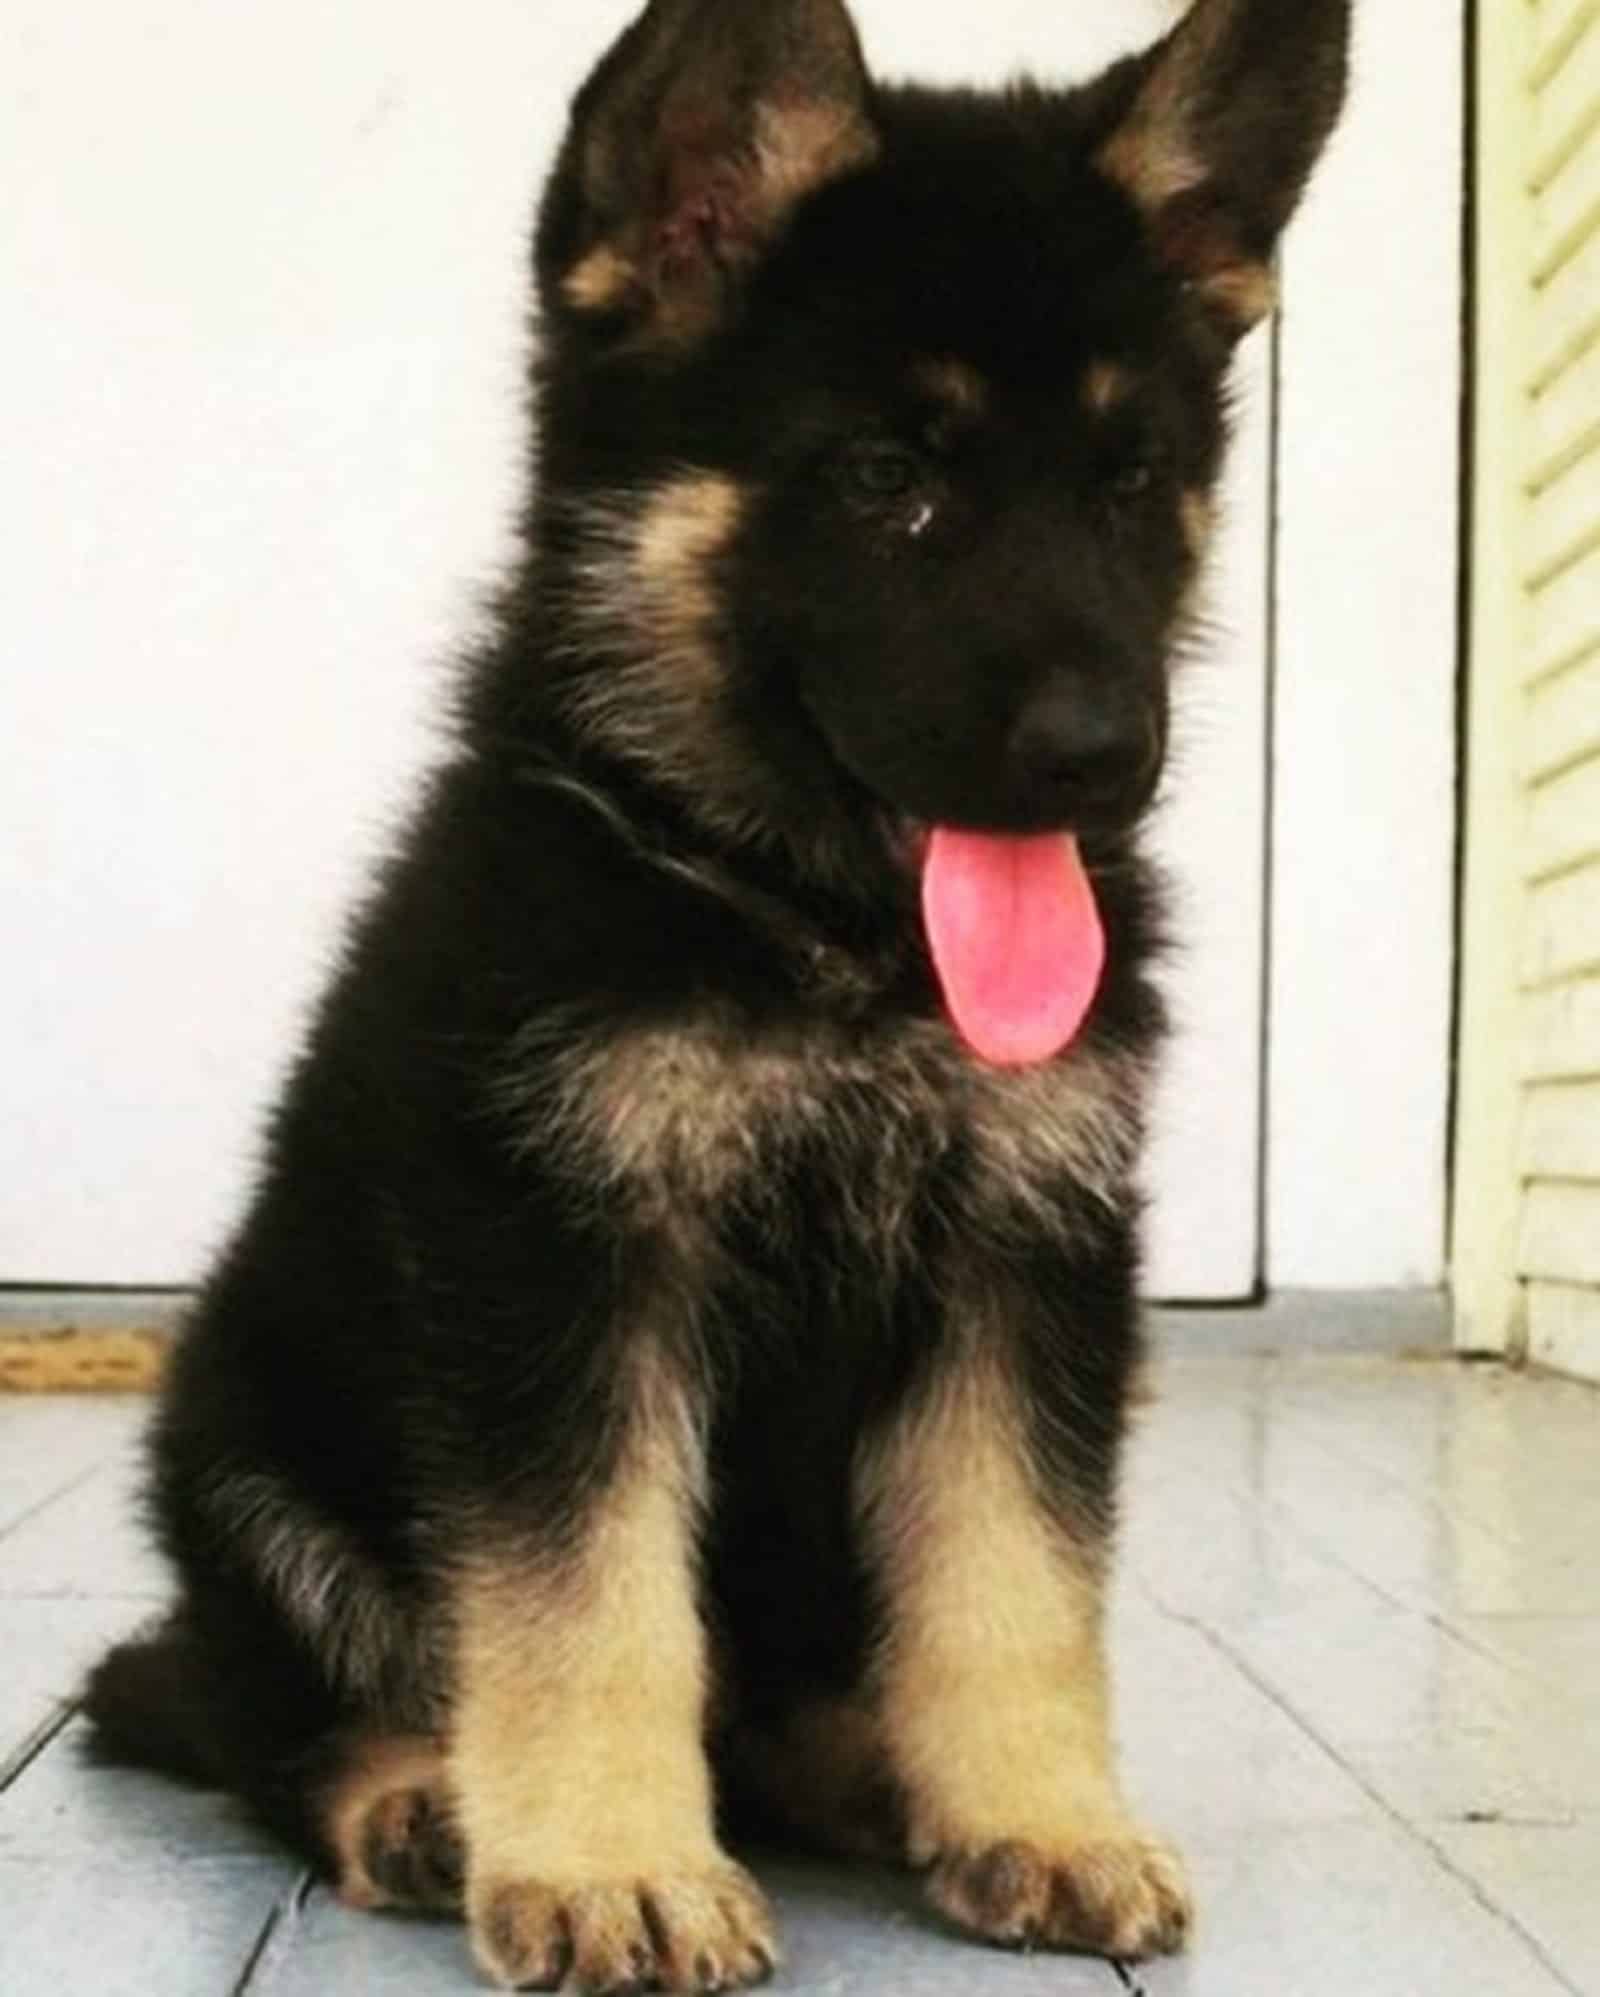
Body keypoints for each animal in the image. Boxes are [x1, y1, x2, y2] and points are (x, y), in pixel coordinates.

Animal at [87, 7, 1350, 1989]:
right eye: (887, 476)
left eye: (1132, 479)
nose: (1106, 757)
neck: (821, 940)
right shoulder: (559, 1266)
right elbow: (583, 1596)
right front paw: (613, 1862)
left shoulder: (1025, 1264)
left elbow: (1015, 1570)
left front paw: (1042, 1813)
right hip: (243, 1449)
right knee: (251, 1707)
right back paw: (413, 1795)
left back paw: (875, 1771)